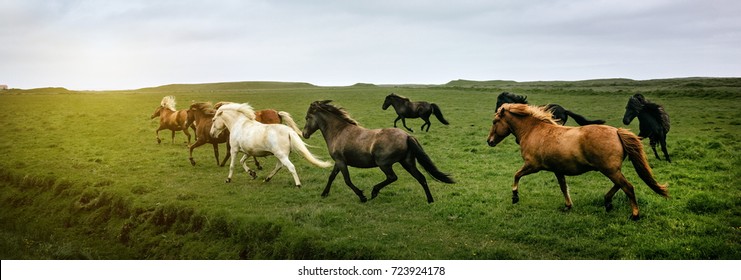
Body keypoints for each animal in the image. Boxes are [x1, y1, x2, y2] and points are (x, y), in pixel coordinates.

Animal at [300, 100, 450, 203]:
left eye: (307, 117)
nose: (304, 134)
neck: (339, 132)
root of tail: (407, 136)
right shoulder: (338, 162)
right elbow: (331, 177)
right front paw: (324, 193)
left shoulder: (341, 162)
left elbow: (347, 180)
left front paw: (362, 196)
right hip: (407, 162)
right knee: (421, 178)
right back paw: (430, 200)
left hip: (384, 163)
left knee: (393, 177)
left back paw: (374, 192)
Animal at [486, 103, 672, 221]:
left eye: (495, 121)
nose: (489, 141)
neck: (533, 131)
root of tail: (617, 132)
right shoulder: (558, 170)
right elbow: (563, 187)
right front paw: (568, 206)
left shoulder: (533, 166)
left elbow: (516, 175)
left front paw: (515, 196)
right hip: (611, 170)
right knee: (620, 185)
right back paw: (607, 202)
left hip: (609, 170)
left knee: (628, 187)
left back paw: (634, 215)